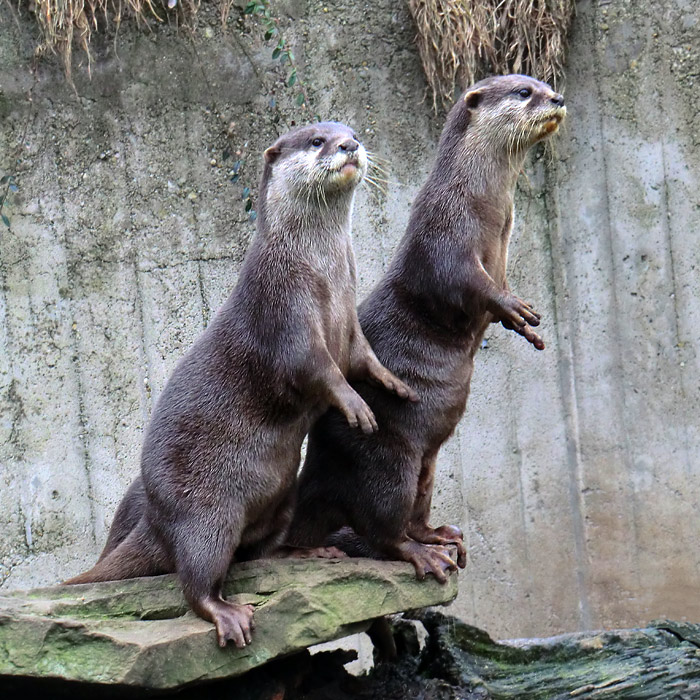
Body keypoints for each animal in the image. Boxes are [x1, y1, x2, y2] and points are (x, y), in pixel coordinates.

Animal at [64, 121, 416, 652]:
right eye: (316, 141)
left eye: (350, 131)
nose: (349, 145)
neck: (321, 274)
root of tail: (157, 519)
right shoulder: (284, 313)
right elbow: (320, 371)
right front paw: (357, 407)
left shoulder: (349, 325)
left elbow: (364, 359)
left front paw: (395, 383)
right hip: (205, 515)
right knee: (197, 578)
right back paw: (228, 614)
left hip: (281, 497)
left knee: (257, 553)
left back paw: (308, 554)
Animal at [288, 74, 568, 584]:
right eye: (523, 92)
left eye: (542, 84)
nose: (556, 98)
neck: (482, 205)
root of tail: (314, 470)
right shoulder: (445, 234)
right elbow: (463, 281)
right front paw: (513, 307)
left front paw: (522, 322)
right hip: (387, 461)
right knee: (383, 530)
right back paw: (424, 555)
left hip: (427, 467)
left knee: (412, 513)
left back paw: (439, 534)